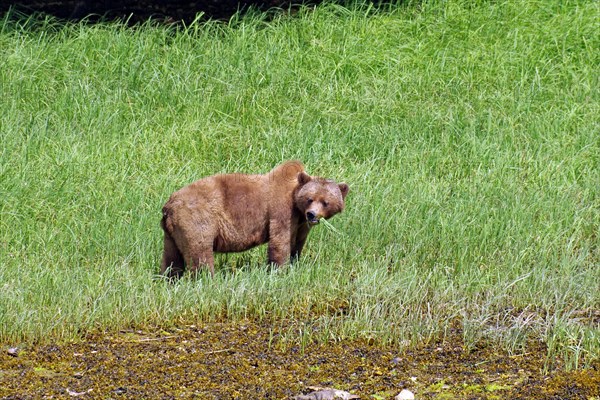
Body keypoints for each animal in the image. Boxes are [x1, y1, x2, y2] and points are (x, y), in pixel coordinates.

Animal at [159, 159, 350, 278]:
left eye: (325, 202)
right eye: (310, 198)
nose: (312, 214)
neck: (297, 204)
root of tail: (169, 204)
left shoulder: (301, 225)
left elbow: (297, 244)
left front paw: (294, 263)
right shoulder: (281, 211)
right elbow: (280, 241)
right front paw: (280, 270)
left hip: (172, 231)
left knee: (171, 258)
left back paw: (169, 278)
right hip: (197, 218)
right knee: (200, 253)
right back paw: (207, 279)